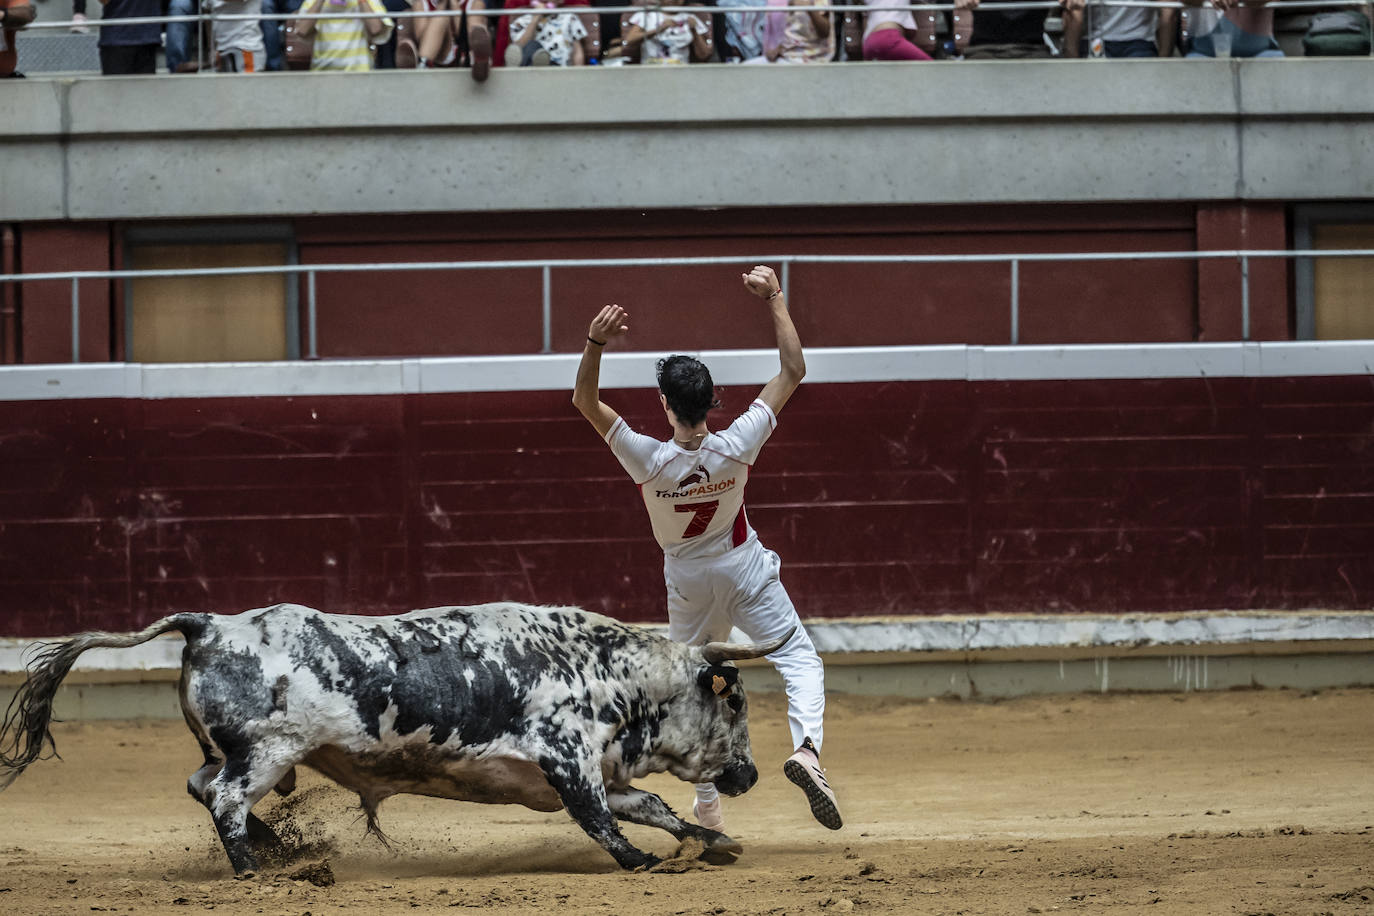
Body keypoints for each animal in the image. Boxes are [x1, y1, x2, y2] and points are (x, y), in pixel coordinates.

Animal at [0, 601, 785, 873]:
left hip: (235, 752)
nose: (750, 776)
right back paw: (260, 872)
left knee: (202, 787)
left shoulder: (598, 773)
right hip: (267, 752)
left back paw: (278, 849)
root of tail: (210, 623)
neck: (603, 671)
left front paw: (711, 841)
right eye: (735, 703)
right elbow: (603, 824)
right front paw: (644, 863)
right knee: (223, 798)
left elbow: (652, 807)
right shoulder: (569, 766)